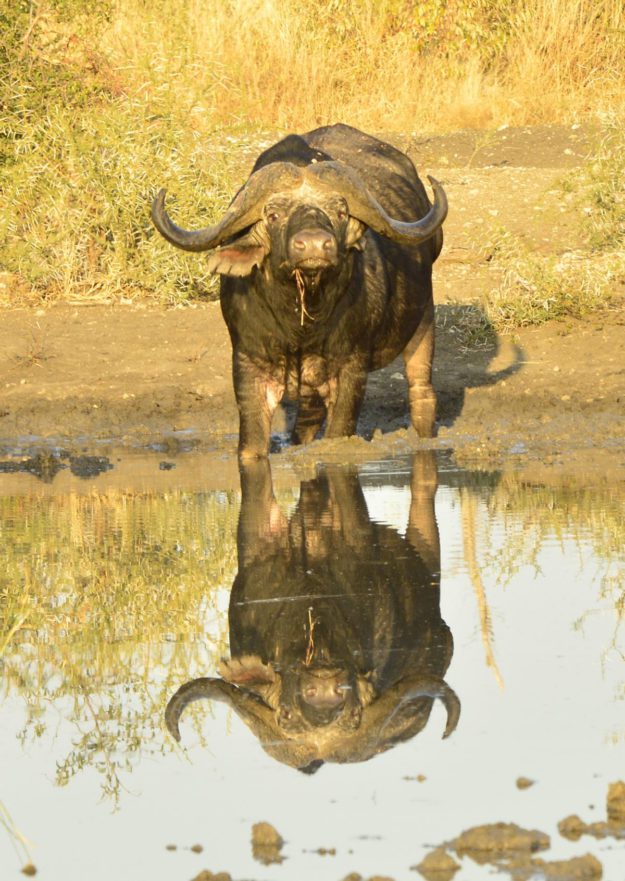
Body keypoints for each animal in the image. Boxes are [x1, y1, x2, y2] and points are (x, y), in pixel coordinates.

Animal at [152, 124, 447, 458]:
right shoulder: (249, 367)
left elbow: (337, 435)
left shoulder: (351, 371)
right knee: (306, 421)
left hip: (424, 319)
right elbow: (252, 447)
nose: (315, 245)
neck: (301, 324)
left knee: (422, 391)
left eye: (340, 212)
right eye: (273, 215)